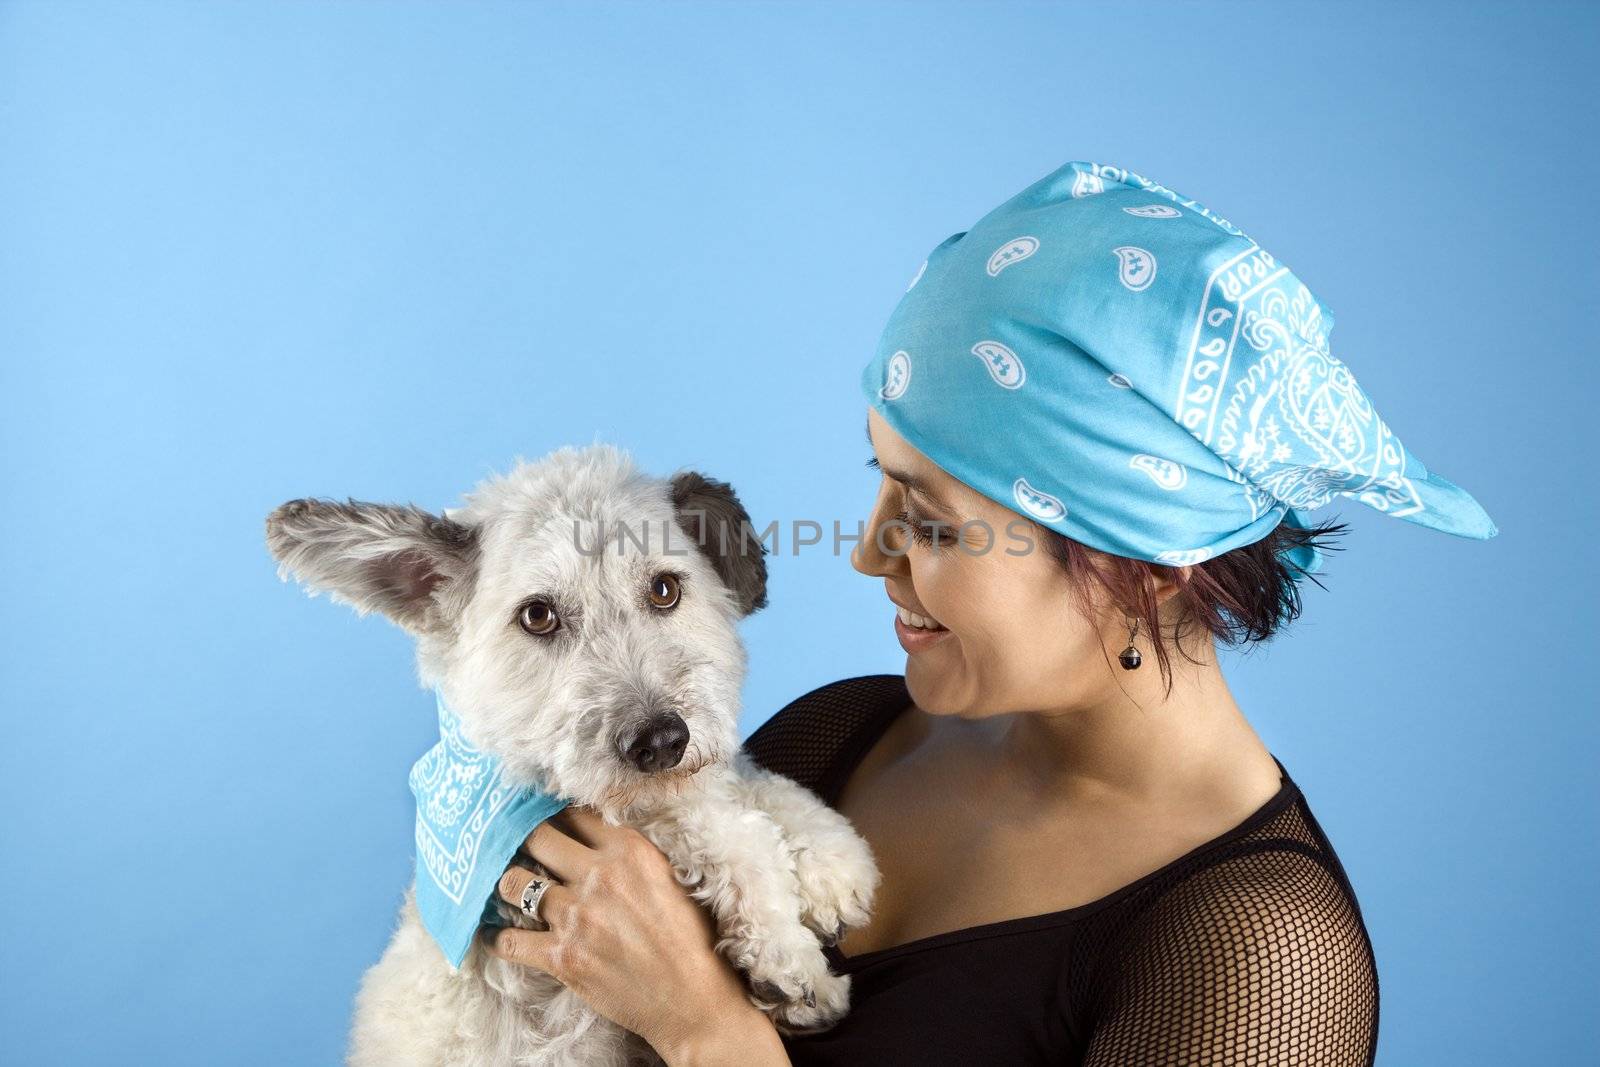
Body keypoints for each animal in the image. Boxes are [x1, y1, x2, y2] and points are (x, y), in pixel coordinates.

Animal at [267, 447, 883, 1067]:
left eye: (665, 589)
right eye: (537, 616)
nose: (662, 741)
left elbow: (733, 779)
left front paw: (827, 858)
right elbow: (716, 825)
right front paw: (790, 959)